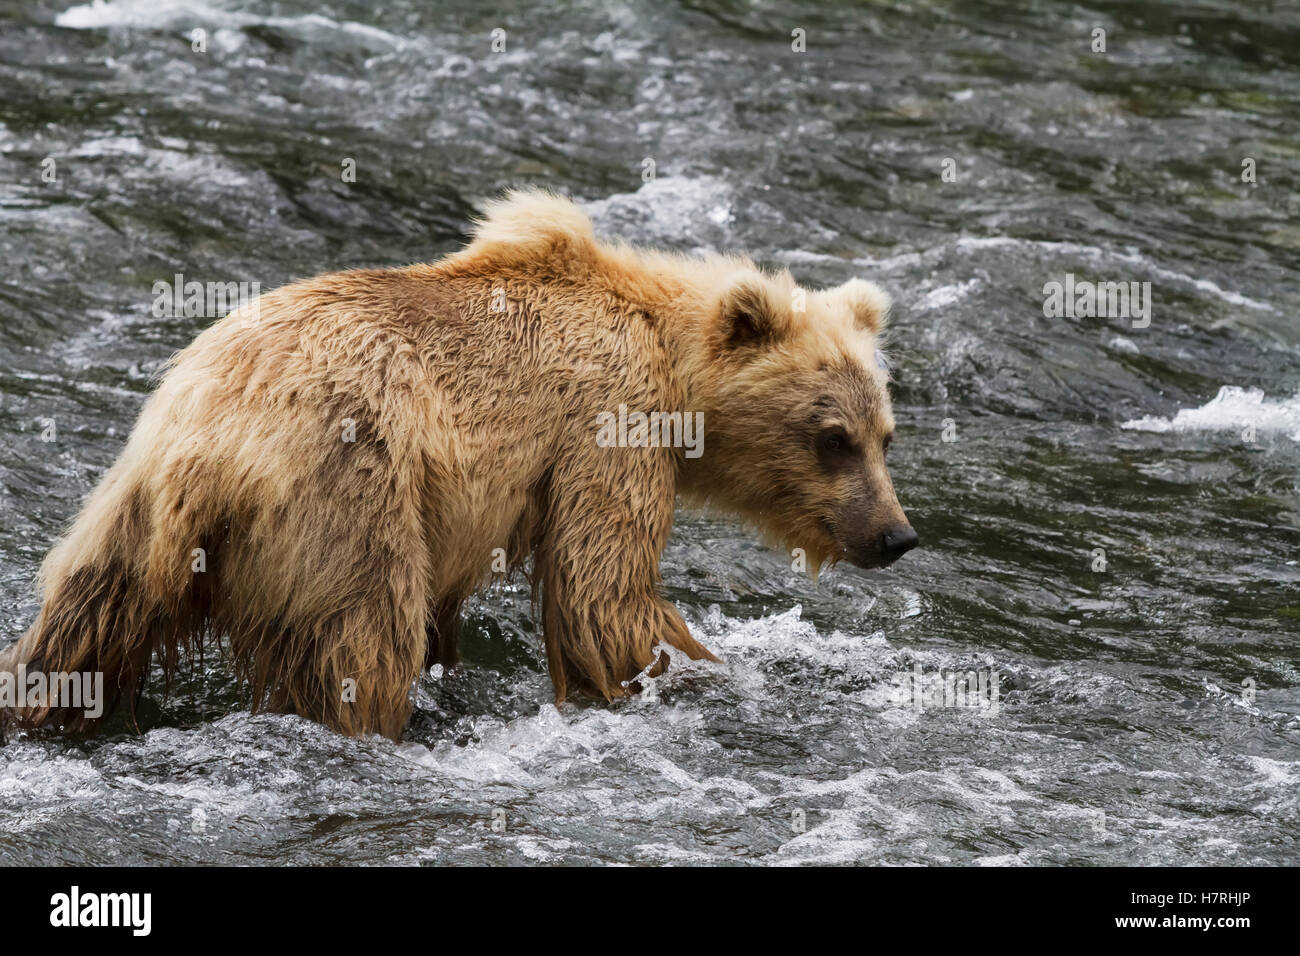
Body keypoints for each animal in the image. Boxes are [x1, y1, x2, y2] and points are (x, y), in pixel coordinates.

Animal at [0, 189, 916, 740]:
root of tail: (209, 450)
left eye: (886, 434)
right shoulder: (606, 422)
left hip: (123, 512)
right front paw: (702, 672)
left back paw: (42, 706)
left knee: (78, 633)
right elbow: (602, 591)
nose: (895, 535)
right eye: (832, 436)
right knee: (365, 636)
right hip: (348, 488)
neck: (670, 354)